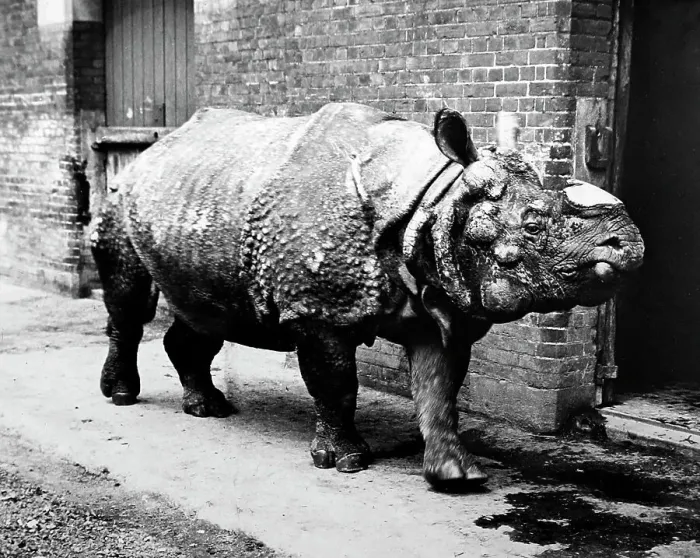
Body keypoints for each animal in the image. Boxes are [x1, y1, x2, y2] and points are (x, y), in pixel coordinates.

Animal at [90, 102, 644, 490]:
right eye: (533, 226)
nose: (628, 244)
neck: (433, 198)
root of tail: (153, 149)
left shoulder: (435, 303)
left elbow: (440, 389)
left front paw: (457, 476)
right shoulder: (318, 312)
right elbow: (337, 383)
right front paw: (347, 463)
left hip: (199, 201)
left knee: (208, 314)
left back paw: (208, 408)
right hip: (122, 194)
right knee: (130, 301)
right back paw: (122, 397)